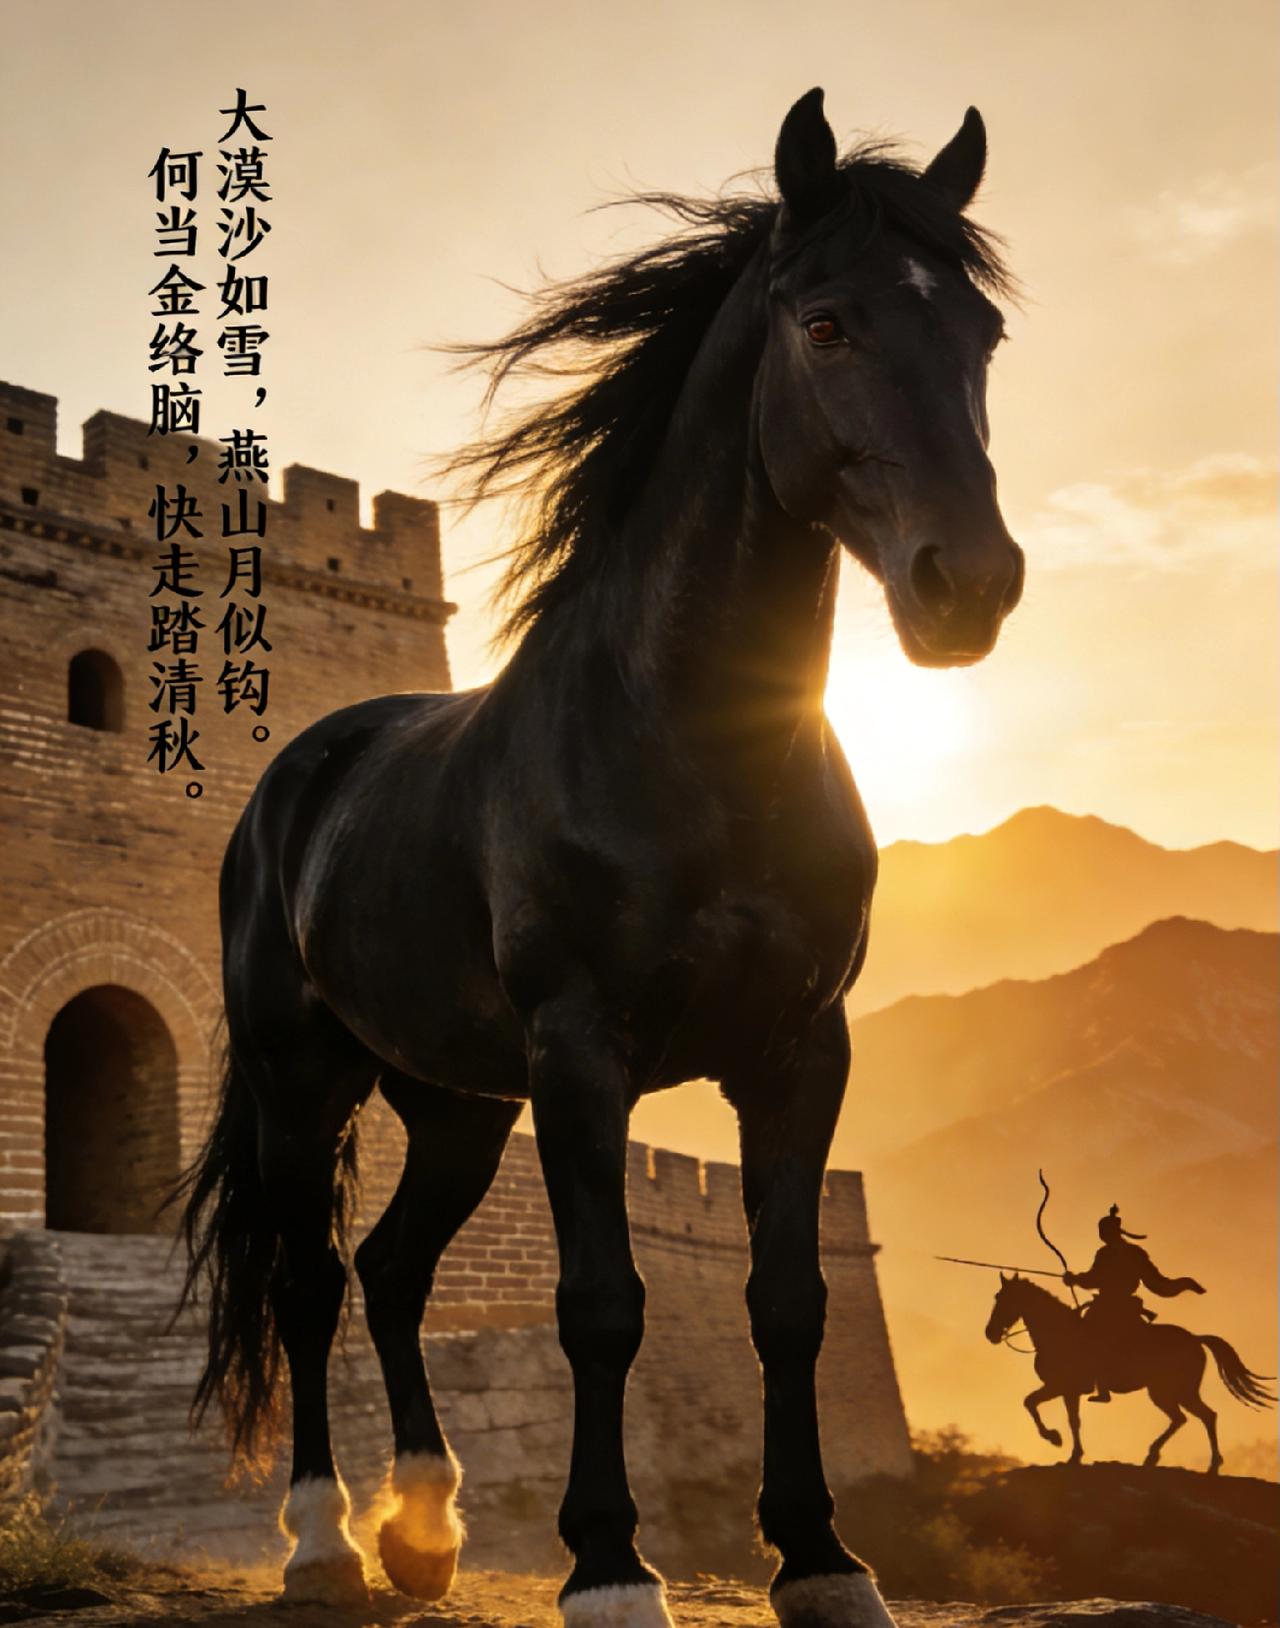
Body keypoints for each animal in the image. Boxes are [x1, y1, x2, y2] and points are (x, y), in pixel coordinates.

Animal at [177, 88, 1025, 1628]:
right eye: (825, 323)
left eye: (981, 334)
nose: (970, 585)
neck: (692, 742)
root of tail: (299, 773)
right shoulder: (582, 1051)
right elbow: (603, 1305)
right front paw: (610, 1564)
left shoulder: (800, 1049)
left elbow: (788, 1298)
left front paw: (820, 1556)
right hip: (302, 1080)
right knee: (312, 1282)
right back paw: (325, 1540)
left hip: (457, 1100)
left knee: (392, 1270)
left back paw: (425, 1526)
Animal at [985, 1274, 1275, 1473]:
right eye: (996, 1298)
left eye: (1004, 1299)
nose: (991, 1333)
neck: (1059, 1333)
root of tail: (1195, 1338)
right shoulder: (1067, 1390)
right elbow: (1065, 1416)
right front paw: (1072, 1453)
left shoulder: (1062, 1386)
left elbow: (1036, 1405)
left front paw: (1055, 1439)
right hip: (1171, 1392)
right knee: (1193, 1417)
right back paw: (1168, 1458)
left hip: (1170, 1391)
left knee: (1198, 1417)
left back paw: (1202, 1462)